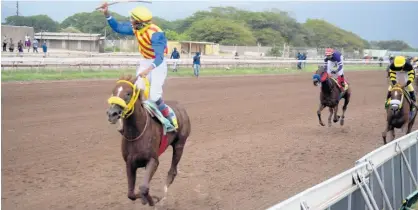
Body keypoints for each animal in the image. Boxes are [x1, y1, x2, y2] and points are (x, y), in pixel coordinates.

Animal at [105, 74, 190, 207]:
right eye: (113, 91)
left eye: (128, 93)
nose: (112, 114)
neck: (136, 133)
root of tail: (181, 106)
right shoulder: (130, 162)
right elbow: (131, 194)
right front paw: (145, 199)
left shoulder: (153, 160)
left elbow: (144, 187)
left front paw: (154, 200)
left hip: (179, 144)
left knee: (172, 171)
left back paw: (163, 194)